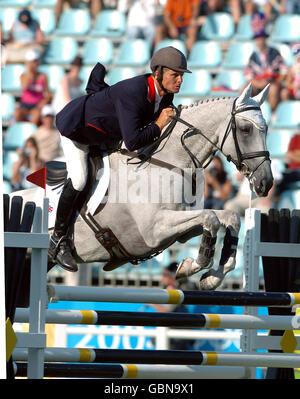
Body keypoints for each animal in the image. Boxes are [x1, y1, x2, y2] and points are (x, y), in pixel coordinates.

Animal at [12, 84, 274, 290]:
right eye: (246, 129)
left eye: (267, 130)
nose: (265, 183)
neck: (167, 162)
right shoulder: (155, 229)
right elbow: (210, 217)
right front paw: (191, 266)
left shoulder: (181, 229)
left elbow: (228, 218)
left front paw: (212, 277)